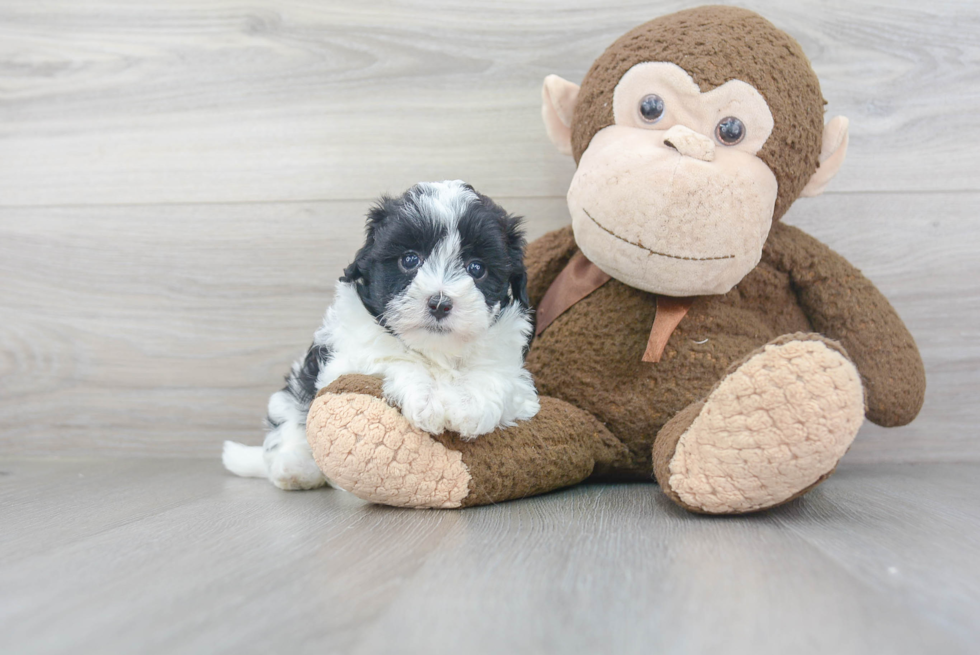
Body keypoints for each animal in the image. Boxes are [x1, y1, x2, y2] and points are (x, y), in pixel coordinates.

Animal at [223, 182, 540, 490]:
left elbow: (492, 374)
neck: (436, 350)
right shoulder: (345, 358)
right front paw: (427, 399)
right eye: (410, 260)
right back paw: (295, 469)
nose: (439, 303)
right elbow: (395, 359)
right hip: (295, 392)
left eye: (476, 268)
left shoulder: (514, 376)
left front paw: (468, 405)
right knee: (289, 426)